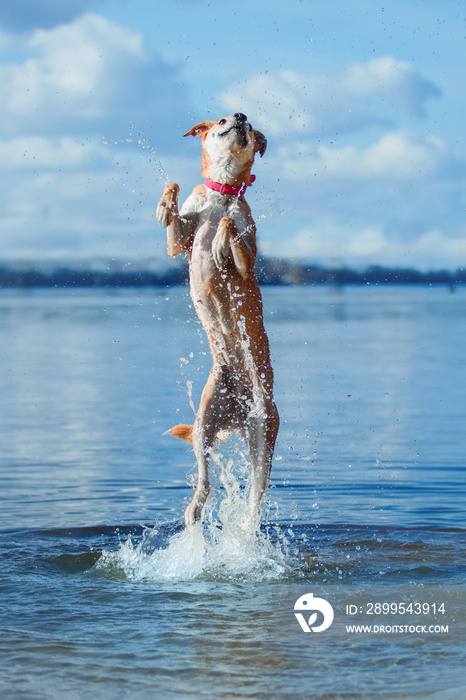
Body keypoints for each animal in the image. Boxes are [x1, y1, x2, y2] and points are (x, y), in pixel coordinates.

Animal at [157, 112, 280, 528]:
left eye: (249, 125)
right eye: (221, 120)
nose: (240, 116)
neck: (222, 193)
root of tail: (239, 414)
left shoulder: (247, 258)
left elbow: (233, 233)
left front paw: (223, 233)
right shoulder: (180, 239)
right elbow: (175, 211)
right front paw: (165, 200)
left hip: (263, 433)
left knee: (256, 493)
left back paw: (245, 524)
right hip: (206, 418)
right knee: (204, 476)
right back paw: (195, 509)